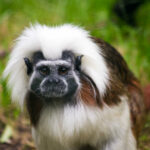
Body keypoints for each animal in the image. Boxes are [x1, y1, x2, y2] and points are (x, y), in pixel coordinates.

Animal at [3, 24, 148, 149]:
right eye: (44, 70)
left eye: (63, 70)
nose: (53, 81)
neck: (62, 103)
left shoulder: (112, 104)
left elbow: (114, 137)